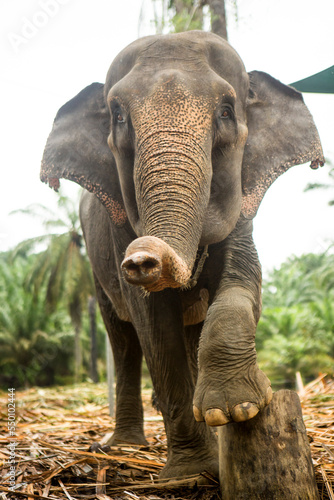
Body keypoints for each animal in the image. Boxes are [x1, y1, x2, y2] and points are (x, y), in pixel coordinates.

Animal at [39, 30, 324, 476]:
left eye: (226, 111)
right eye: (118, 116)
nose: (142, 258)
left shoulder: (243, 207)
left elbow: (243, 282)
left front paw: (236, 409)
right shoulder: (116, 233)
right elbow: (153, 323)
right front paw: (190, 473)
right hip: (97, 277)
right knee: (123, 340)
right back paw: (125, 445)